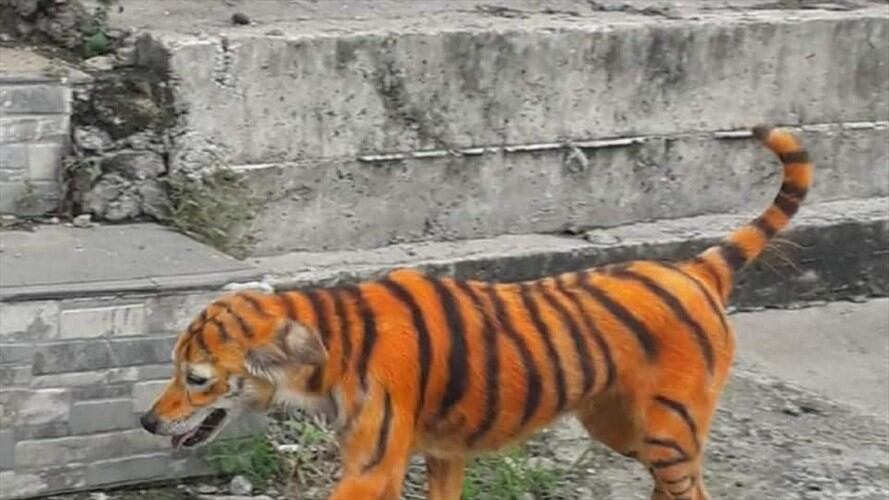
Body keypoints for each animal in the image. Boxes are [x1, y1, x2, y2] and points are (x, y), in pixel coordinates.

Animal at [140, 125, 813, 500]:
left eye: (196, 379)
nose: (147, 421)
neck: (327, 347)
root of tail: (696, 267)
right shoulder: (441, 453)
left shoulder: (373, 466)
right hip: (620, 425)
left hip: (667, 430)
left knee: (693, 488)